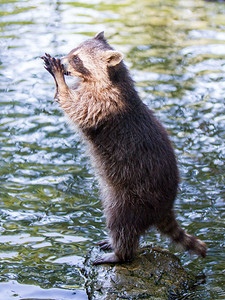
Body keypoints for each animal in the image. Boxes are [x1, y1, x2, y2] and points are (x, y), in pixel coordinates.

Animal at [41, 31, 207, 264]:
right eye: (72, 51)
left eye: (77, 59)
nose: (63, 61)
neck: (114, 78)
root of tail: (166, 207)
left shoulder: (104, 103)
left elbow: (78, 108)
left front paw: (60, 81)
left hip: (134, 198)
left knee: (122, 225)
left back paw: (120, 253)